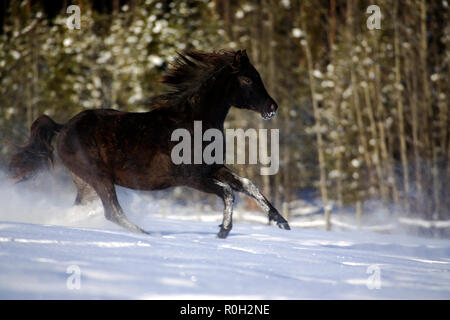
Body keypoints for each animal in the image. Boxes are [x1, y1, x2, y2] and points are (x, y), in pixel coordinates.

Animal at [9, 49, 292, 238]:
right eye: (247, 79)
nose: (272, 108)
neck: (192, 122)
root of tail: (64, 127)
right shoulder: (190, 177)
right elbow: (229, 192)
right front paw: (223, 230)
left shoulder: (212, 168)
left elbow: (247, 184)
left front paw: (281, 221)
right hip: (99, 176)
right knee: (113, 211)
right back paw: (147, 235)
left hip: (85, 183)